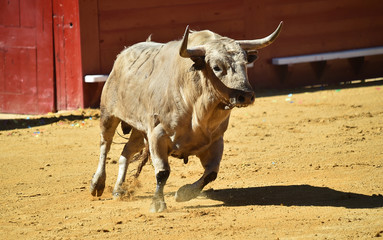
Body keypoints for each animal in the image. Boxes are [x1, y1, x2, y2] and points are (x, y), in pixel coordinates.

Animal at [89, 22, 282, 212]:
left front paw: (184, 193)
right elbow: (163, 172)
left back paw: (118, 189)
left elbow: (211, 173)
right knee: (105, 145)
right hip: (108, 114)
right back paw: (97, 184)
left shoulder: (215, 140)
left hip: (139, 131)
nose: (246, 96)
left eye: (244, 64)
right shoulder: (157, 135)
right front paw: (157, 204)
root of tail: (122, 55)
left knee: (126, 153)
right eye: (217, 67)